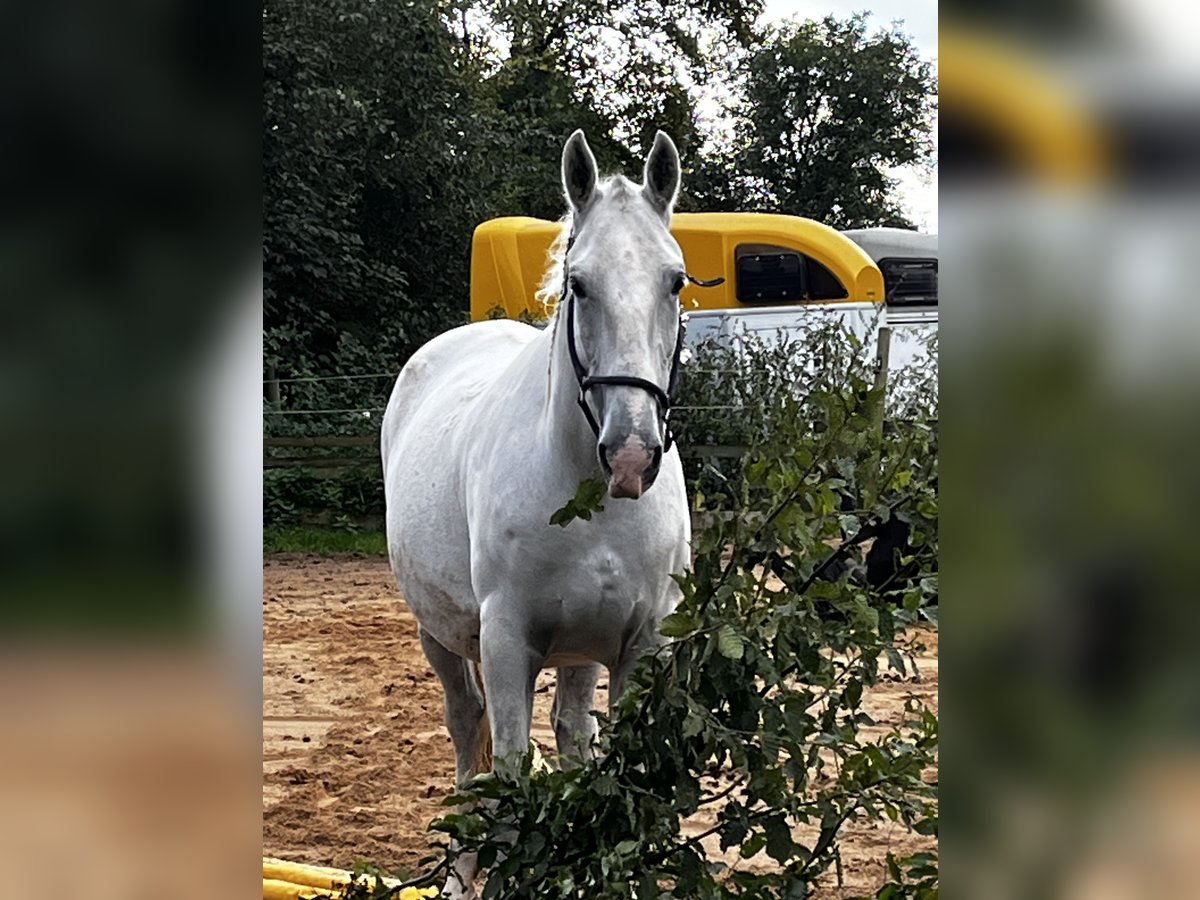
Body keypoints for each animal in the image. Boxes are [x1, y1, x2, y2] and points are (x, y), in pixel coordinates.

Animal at [379, 130, 691, 897]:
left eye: (675, 280)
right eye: (578, 283)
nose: (633, 454)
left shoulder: (642, 642)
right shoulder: (507, 639)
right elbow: (512, 777)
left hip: (579, 650)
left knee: (572, 730)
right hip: (441, 635)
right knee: (469, 731)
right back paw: (460, 871)